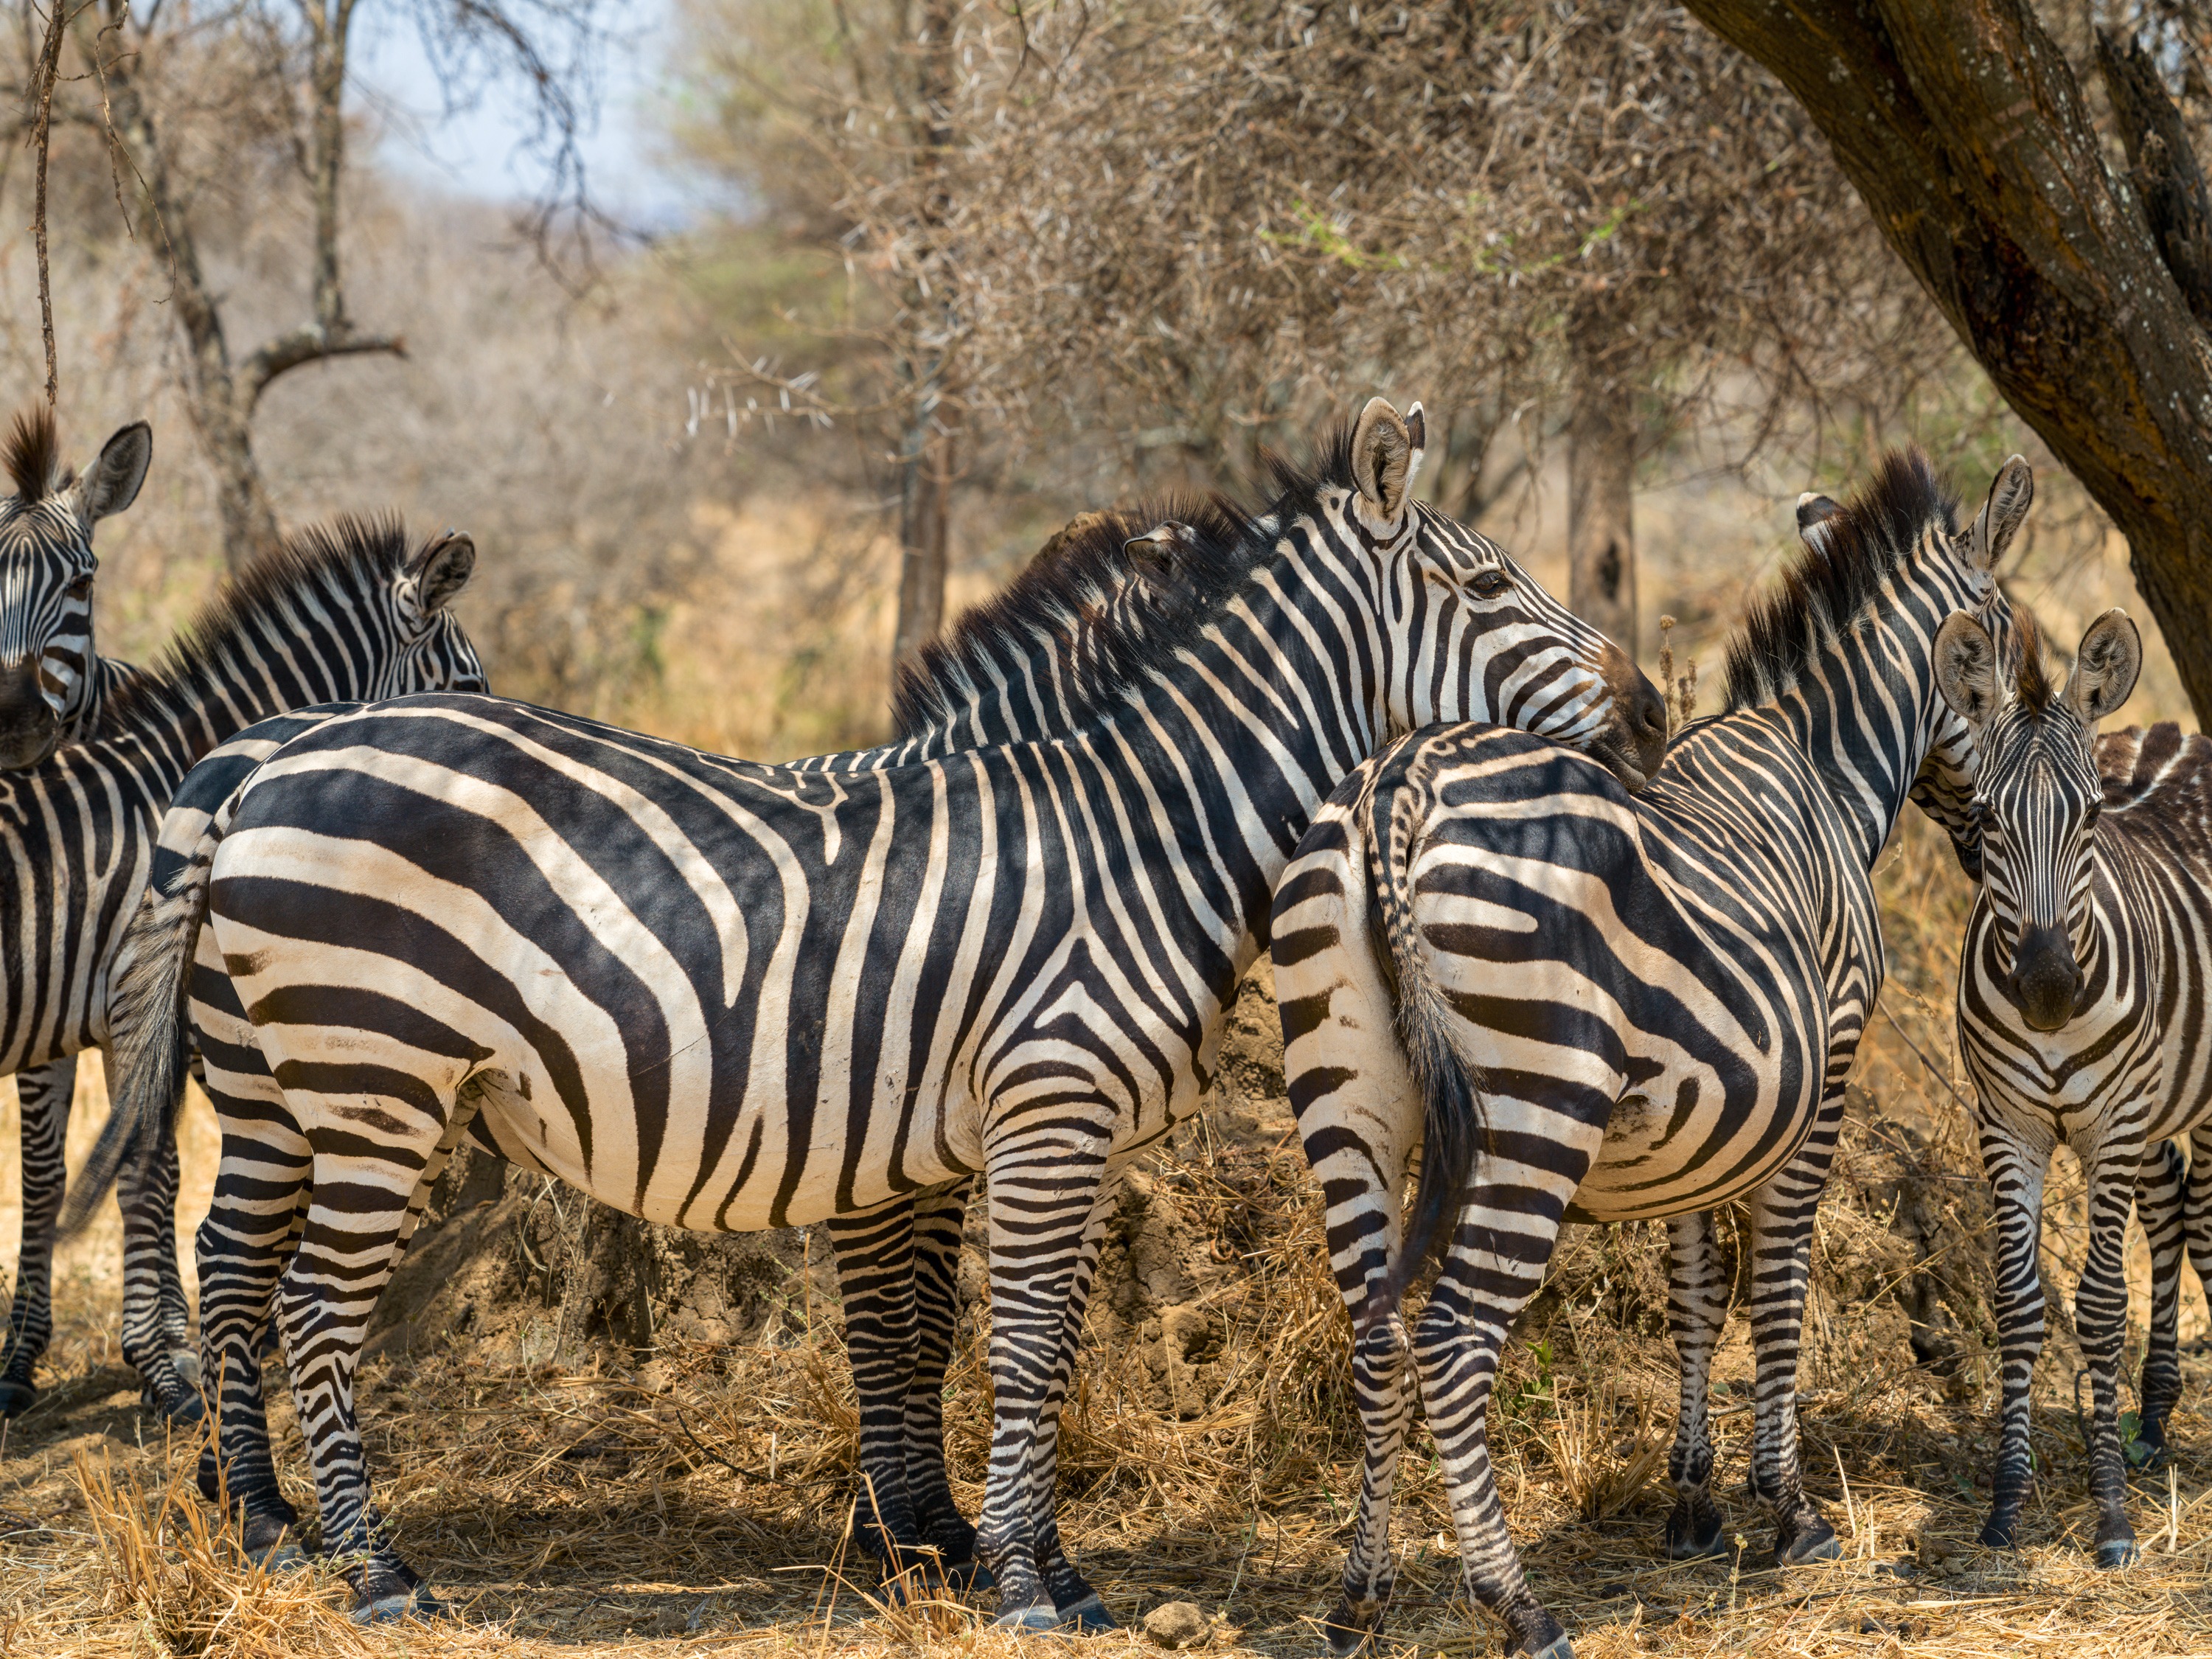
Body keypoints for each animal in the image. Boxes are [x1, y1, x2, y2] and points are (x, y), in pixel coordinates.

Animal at [80, 398, 1668, 1623]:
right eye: (1485, 589)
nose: (1653, 708)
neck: (1138, 826)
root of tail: (265, 761)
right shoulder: (1043, 1107)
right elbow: (1012, 1338)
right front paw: (1016, 1576)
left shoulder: (957, 1138)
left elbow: (965, 1334)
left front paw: (985, 1552)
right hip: (372, 1077)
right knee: (308, 1300)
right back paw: (375, 1571)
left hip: (284, 1086)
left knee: (240, 1267)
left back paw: (270, 1524)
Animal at [1268, 448, 2031, 1659]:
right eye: (2012, 645)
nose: (1996, 830)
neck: (1822, 765)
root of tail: (1400, 785)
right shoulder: (1825, 1071)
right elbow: (1778, 1286)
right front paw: (1789, 1510)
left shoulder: (1707, 1114)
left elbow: (1694, 1290)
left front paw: (1691, 1499)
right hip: (1537, 1108)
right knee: (1451, 1341)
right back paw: (1518, 1604)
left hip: (1347, 1100)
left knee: (1379, 1332)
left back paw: (1358, 1597)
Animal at [1934, 605, 2197, 1567]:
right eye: (1986, 818)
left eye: (2088, 818)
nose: (2048, 991)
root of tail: (2169, 728)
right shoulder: (2008, 1126)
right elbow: (2018, 1302)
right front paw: (2008, 1505)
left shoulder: (2111, 1126)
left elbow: (2101, 1304)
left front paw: (2112, 1515)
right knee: (2174, 1204)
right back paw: (2152, 1419)